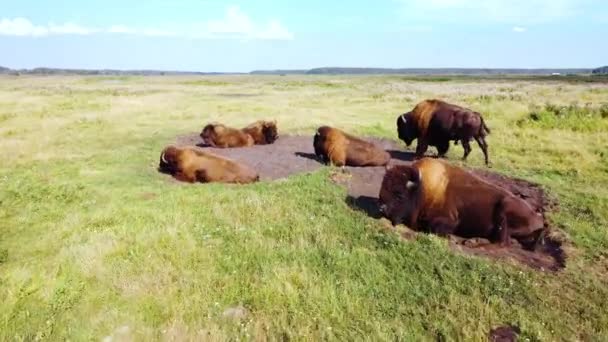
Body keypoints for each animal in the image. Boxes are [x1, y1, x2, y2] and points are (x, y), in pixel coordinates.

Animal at [380, 158, 548, 246]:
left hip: (504, 208)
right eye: (383, 188)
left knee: (501, 242)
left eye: (400, 194)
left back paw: (472, 241)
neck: (422, 189)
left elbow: (435, 227)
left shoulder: (450, 219)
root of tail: (538, 218)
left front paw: (452, 237)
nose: (382, 209)